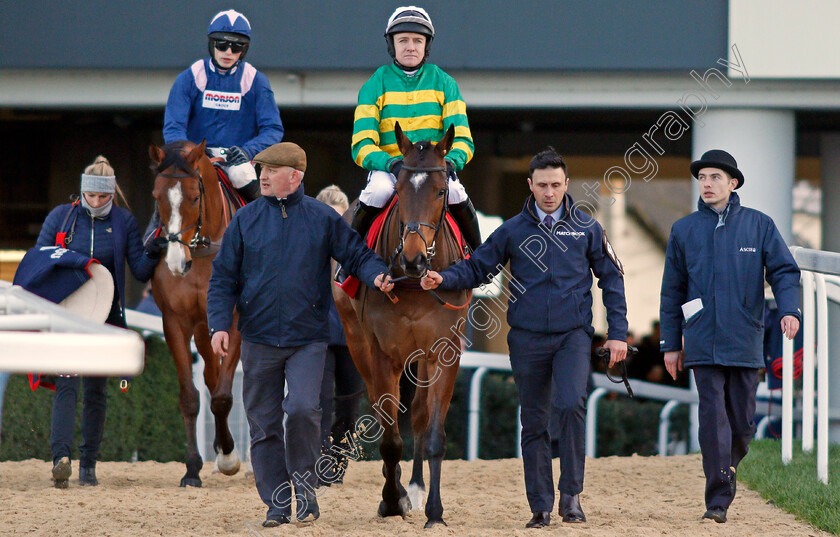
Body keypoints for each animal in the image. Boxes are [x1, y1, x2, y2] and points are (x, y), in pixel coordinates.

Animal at [146, 140, 240, 484]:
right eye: (156, 195)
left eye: (195, 197)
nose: (176, 262)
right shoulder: (176, 322)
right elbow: (189, 396)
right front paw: (192, 468)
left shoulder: (236, 322)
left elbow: (224, 397)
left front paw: (229, 458)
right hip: (203, 329)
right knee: (211, 376)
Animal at [332, 123, 470, 524]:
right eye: (400, 190)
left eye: (440, 191)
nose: (413, 260)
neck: (412, 284)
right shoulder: (381, 352)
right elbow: (390, 436)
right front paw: (392, 500)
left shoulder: (445, 352)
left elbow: (434, 431)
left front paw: (434, 510)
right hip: (357, 343)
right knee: (384, 412)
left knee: (421, 415)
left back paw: (417, 487)